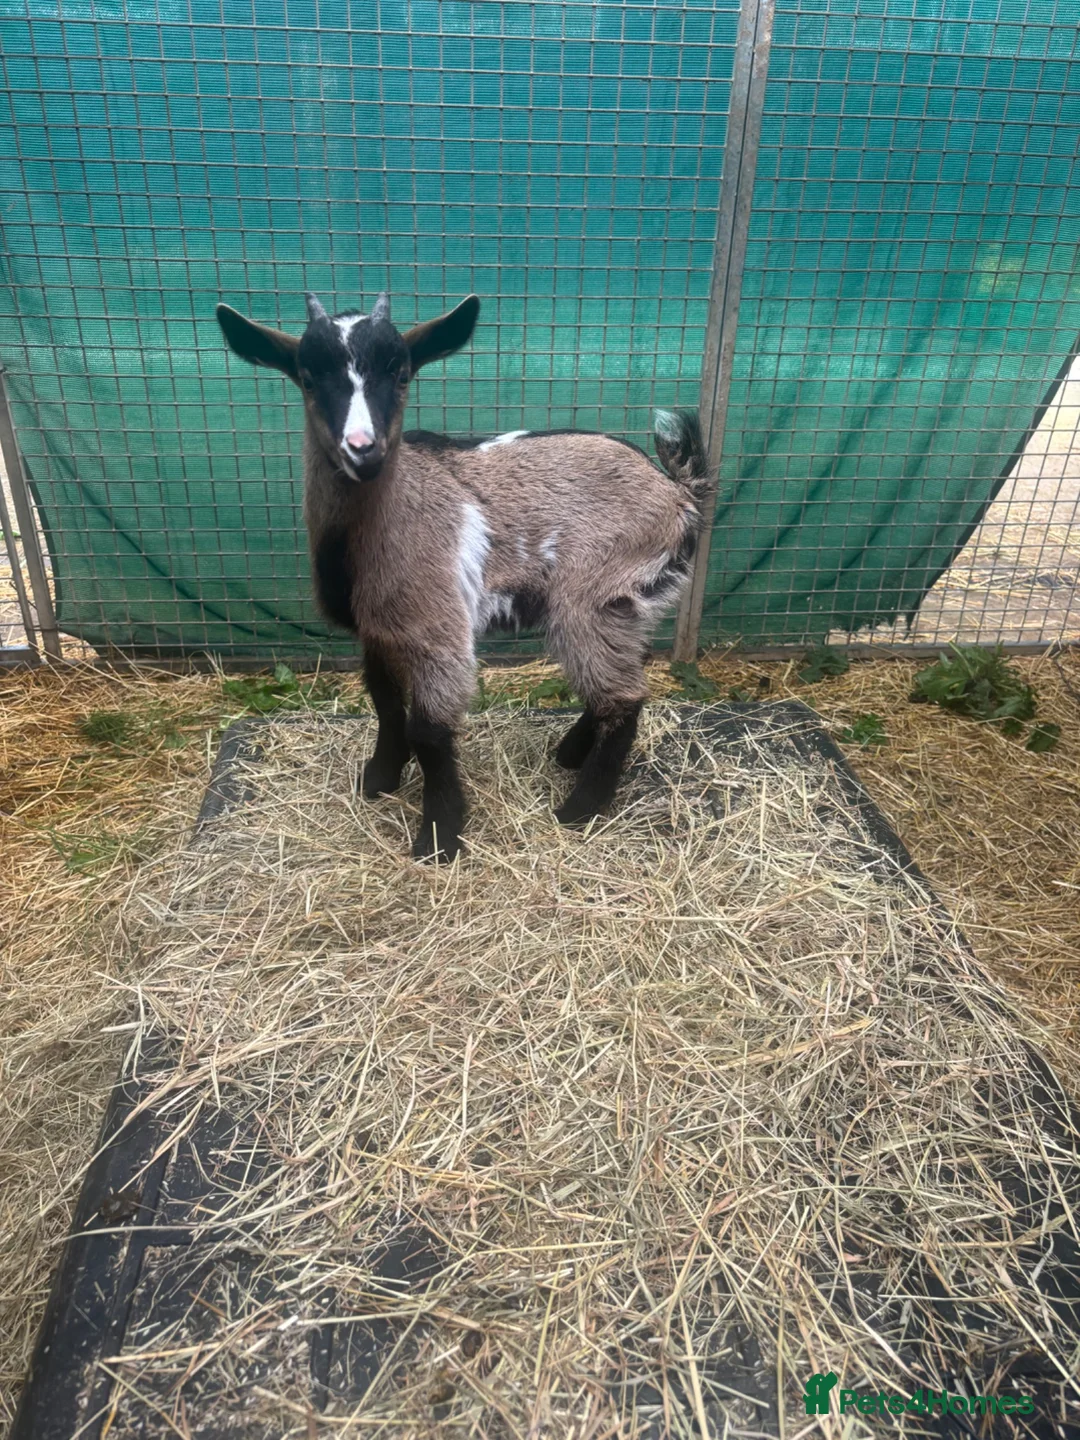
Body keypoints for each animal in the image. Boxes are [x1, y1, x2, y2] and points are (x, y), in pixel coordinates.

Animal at [216, 291, 708, 861]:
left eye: (401, 373)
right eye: (308, 377)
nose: (363, 448)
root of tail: (678, 492)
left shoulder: (438, 629)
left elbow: (428, 731)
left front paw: (439, 836)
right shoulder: (378, 631)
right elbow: (385, 702)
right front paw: (380, 779)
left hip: (592, 593)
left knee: (624, 697)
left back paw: (577, 811)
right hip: (625, 602)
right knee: (629, 672)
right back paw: (569, 754)